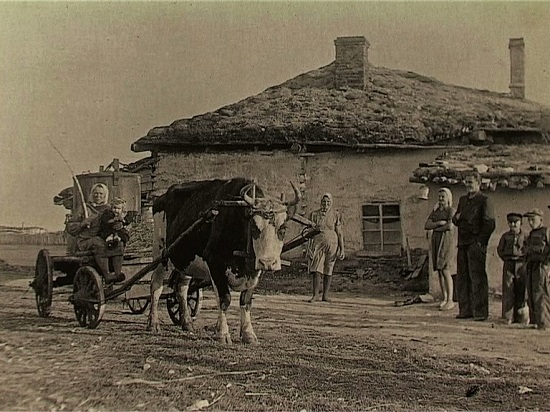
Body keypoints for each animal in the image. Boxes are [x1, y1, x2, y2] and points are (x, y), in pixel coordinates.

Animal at [147, 178, 300, 344]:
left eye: (283, 229)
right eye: (254, 227)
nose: (268, 263)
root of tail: (161, 197)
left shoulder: (255, 271)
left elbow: (246, 301)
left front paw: (249, 334)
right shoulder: (214, 263)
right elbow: (224, 299)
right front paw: (222, 333)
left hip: (186, 258)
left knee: (181, 288)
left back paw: (187, 323)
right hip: (160, 250)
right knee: (156, 285)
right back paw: (153, 323)